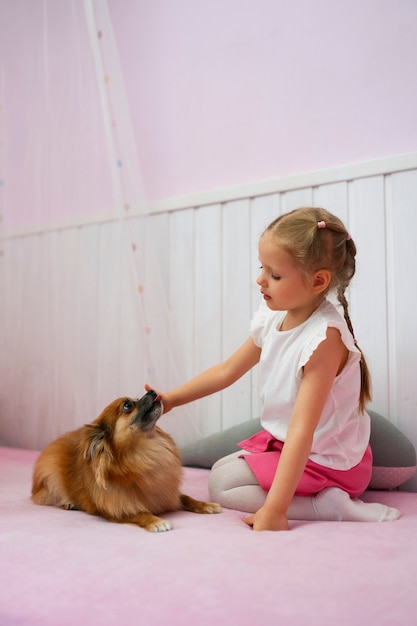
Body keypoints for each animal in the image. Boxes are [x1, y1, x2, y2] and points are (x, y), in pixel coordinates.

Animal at [31, 388, 221, 528]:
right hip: (51, 477)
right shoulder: (115, 509)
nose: (152, 390)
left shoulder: (167, 493)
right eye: (128, 405)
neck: (146, 453)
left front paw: (206, 505)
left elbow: (186, 498)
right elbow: (139, 513)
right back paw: (69, 503)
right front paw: (156, 522)